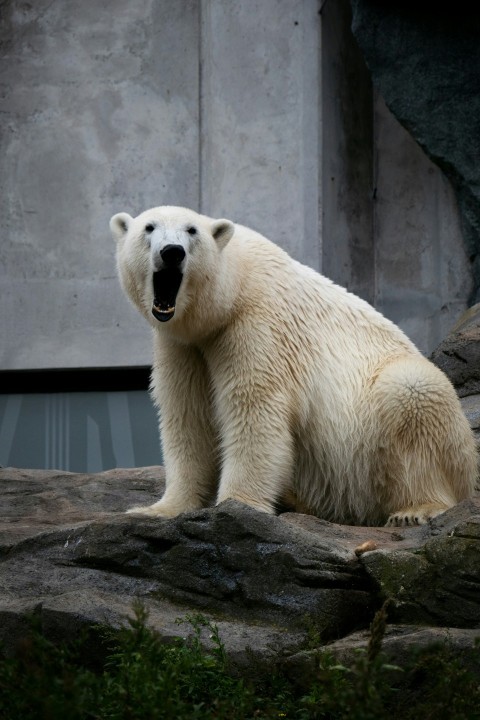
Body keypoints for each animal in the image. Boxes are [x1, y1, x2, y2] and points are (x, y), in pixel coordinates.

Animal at [110, 205, 477, 526]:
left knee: (412, 391)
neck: (235, 287)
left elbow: (255, 411)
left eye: (192, 231)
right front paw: (156, 509)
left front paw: (236, 505)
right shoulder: (184, 346)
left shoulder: (257, 327)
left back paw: (416, 509)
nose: (172, 252)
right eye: (149, 227)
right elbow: (189, 416)